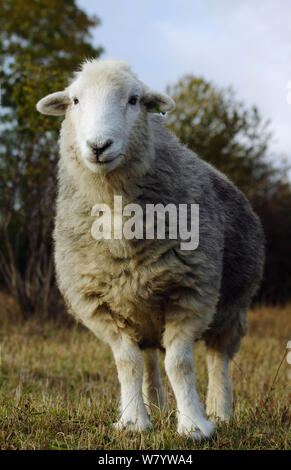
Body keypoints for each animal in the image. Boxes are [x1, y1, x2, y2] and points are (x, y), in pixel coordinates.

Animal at [36, 59, 264, 440]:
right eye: (75, 101)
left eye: (133, 99)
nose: (99, 145)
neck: (117, 216)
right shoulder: (99, 305)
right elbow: (127, 363)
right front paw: (132, 422)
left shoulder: (191, 293)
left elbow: (180, 363)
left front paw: (194, 426)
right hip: (140, 310)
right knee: (147, 358)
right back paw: (154, 406)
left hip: (232, 308)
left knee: (218, 358)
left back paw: (220, 411)